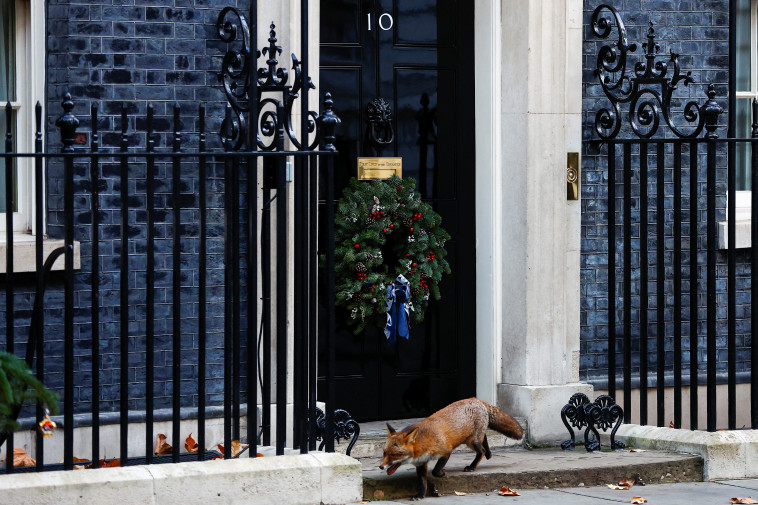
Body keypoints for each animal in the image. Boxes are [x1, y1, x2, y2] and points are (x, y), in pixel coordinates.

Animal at [378, 398, 524, 500]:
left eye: (394, 455)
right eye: (384, 453)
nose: (380, 466)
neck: (423, 443)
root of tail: (477, 399)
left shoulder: (446, 451)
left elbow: (435, 471)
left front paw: (442, 473)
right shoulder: (421, 463)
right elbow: (422, 482)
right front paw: (420, 495)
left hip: (472, 442)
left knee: (481, 450)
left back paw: (473, 466)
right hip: (471, 439)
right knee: (485, 439)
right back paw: (489, 454)